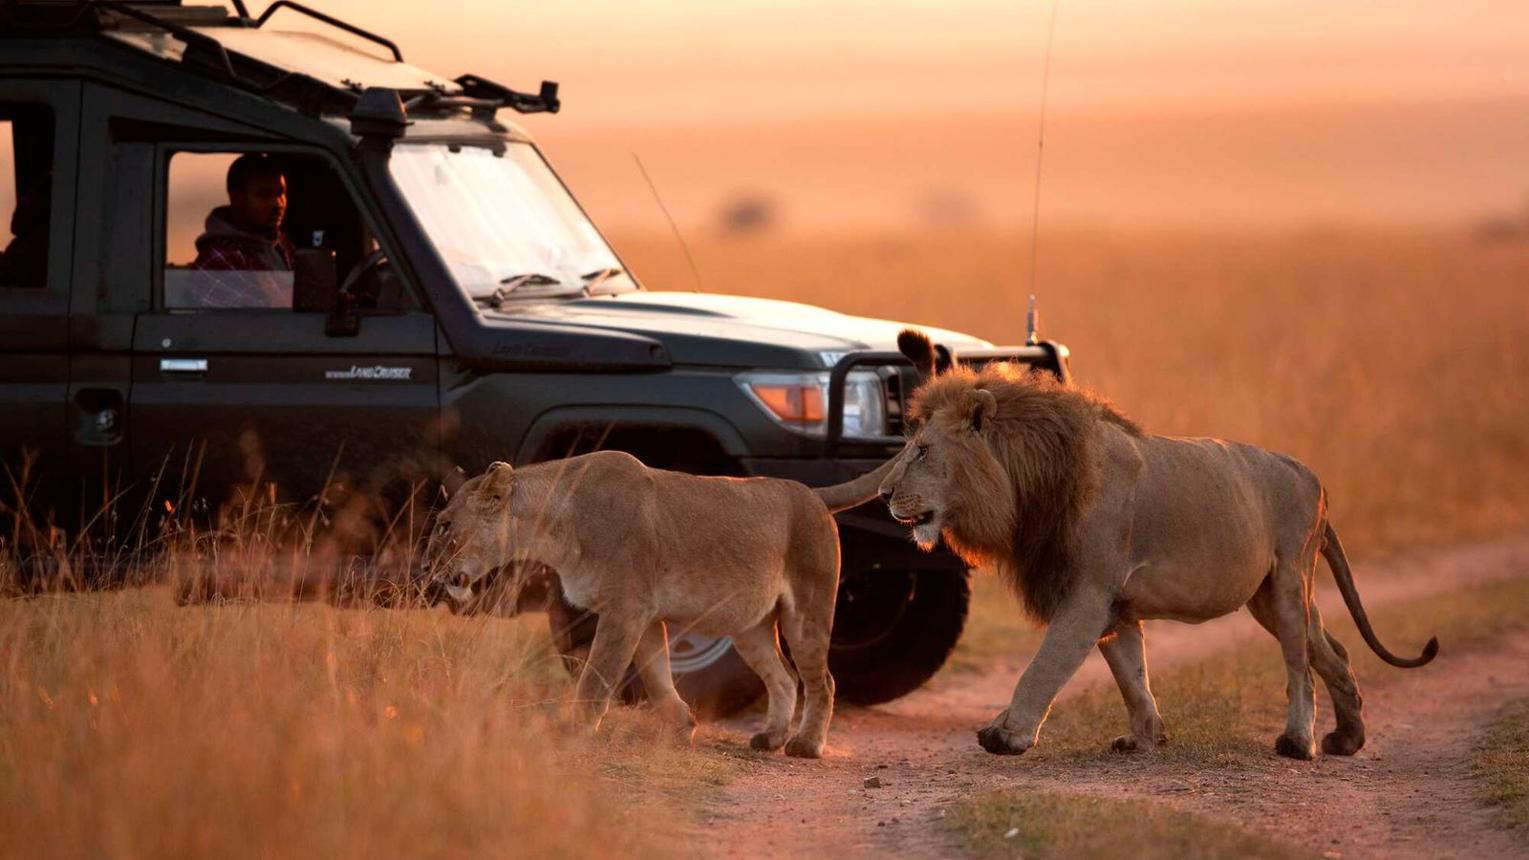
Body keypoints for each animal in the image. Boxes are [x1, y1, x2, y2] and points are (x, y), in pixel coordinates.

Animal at [422, 450, 893, 757]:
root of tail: (811, 492)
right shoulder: (643, 615)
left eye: (444, 524)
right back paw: (770, 739)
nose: (426, 566)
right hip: (750, 627)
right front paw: (683, 726)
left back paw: (805, 746)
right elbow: (656, 674)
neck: (552, 524)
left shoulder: (625, 610)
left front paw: (571, 731)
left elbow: (596, 680)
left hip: (807, 609)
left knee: (822, 681)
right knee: (784, 678)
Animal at [879, 330, 1438, 759]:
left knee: (1300, 665)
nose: (883, 493)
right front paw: (1147, 739)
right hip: (1268, 595)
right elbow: (1132, 674)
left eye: (922, 451)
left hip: (1288, 578)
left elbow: (1044, 667)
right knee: (1333, 650)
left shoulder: (1087, 595)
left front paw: (1007, 735)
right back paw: (1348, 739)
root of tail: (1316, 480)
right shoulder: (1115, 604)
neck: (1028, 481)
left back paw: (1299, 743)